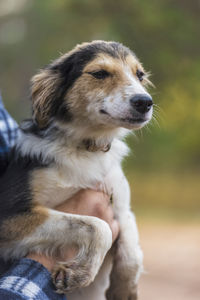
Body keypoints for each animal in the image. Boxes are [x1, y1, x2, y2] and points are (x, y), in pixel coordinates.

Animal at [0, 40, 153, 300]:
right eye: (99, 73)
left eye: (139, 75)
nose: (144, 102)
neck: (86, 148)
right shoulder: (10, 212)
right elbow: (98, 226)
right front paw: (81, 272)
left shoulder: (121, 203)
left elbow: (132, 245)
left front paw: (123, 289)